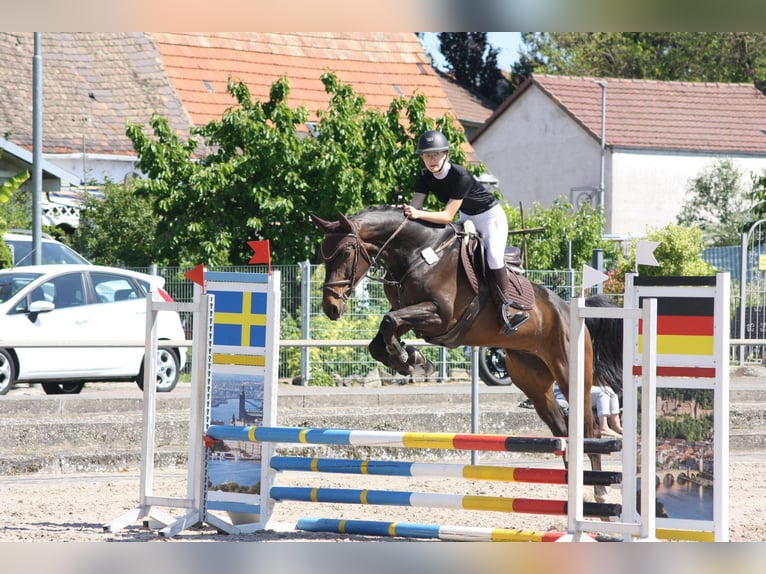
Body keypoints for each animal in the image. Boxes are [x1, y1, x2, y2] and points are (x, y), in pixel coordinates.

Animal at [310, 205, 622, 501]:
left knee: (589, 430)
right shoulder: (411, 315)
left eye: (346, 252)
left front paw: (413, 361)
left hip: (571, 375)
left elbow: (389, 321)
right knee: (562, 429)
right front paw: (412, 360)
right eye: (323, 256)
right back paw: (576, 487)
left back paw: (600, 491)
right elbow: (381, 339)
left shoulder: (439, 316)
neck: (417, 255)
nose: (331, 308)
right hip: (534, 383)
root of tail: (571, 311)